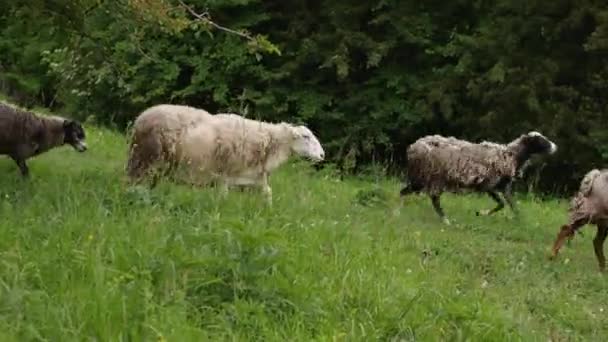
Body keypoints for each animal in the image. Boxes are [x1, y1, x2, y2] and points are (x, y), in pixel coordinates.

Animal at [126, 103, 326, 202]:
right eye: (306, 136)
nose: (323, 155)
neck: (270, 143)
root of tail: (140, 118)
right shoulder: (224, 176)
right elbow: (223, 197)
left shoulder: (254, 176)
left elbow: (267, 193)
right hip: (145, 159)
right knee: (134, 182)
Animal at [402, 131, 560, 224]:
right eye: (541, 140)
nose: (555, 147)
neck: (511, 155)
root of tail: (413, 148)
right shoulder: (488, 185)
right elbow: (501, 204)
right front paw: (482, 213)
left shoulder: (503, 187)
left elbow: (512, 205)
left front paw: (518, 220)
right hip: (433, 176)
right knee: (433, 199)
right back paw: (445, 220)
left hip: (422, 177)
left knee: (405, 191)